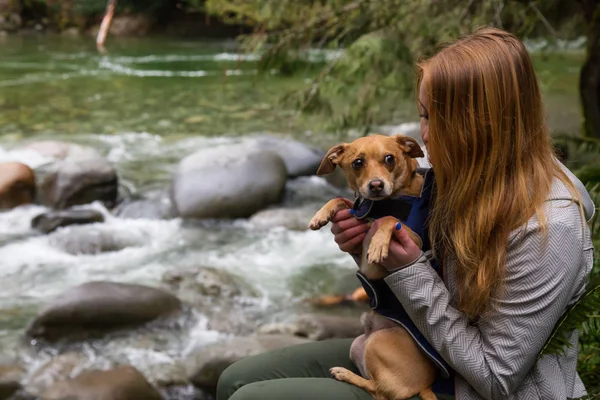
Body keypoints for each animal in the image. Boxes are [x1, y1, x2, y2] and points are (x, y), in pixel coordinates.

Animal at [310, 134, 436, 400]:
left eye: (390, 159)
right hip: (357, 345)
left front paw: (378, 244)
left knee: (380, 391)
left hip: (377, 342)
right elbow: (343, 200)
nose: (376, 185)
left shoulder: (415, 240)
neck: (383, 202)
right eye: (357, 163)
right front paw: (321, 214)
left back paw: (344, 374)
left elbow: (389, 219)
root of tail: (425, 385)